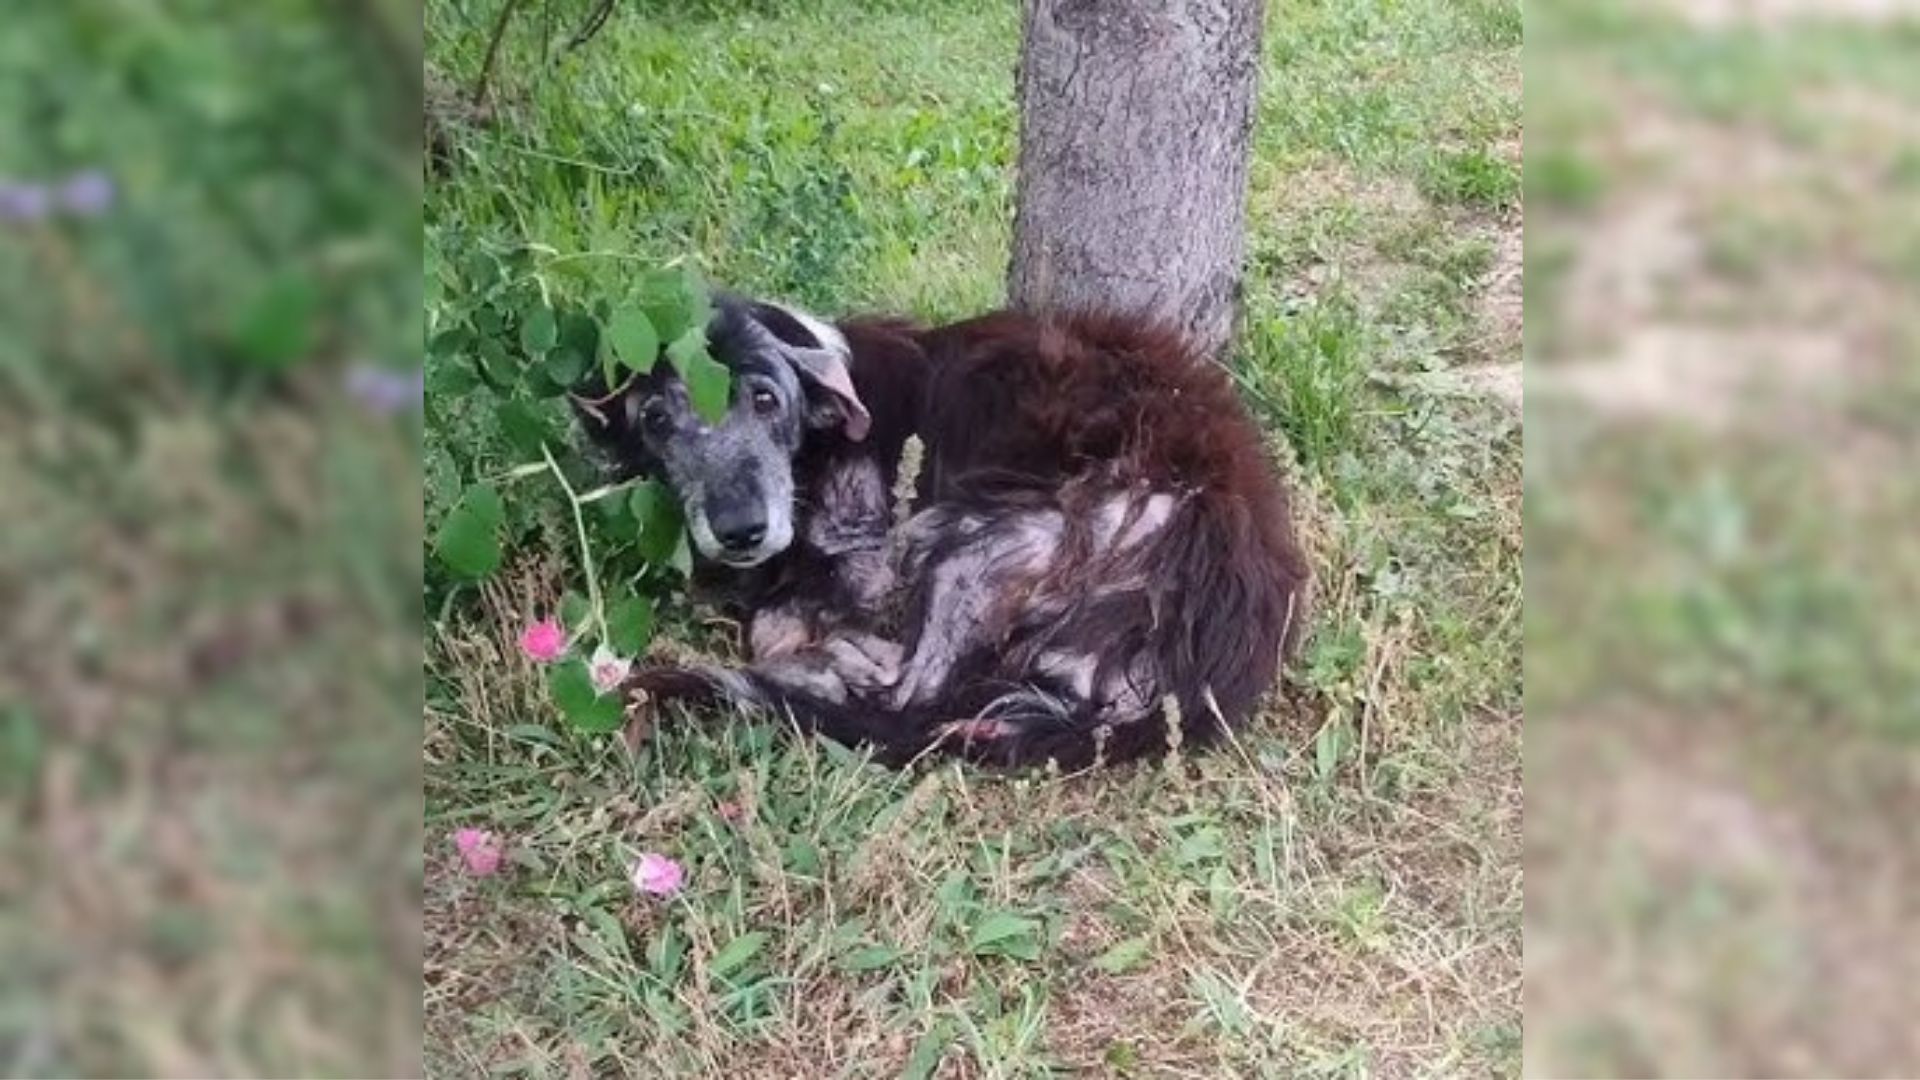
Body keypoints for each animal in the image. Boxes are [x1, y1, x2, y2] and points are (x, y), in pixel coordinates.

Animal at [568, 290, 1313, 768]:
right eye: (656, 420)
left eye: (764, 397)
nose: (741, 530)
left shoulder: (870, 551)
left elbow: (779, 624)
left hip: (971, 535)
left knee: (909, 694)